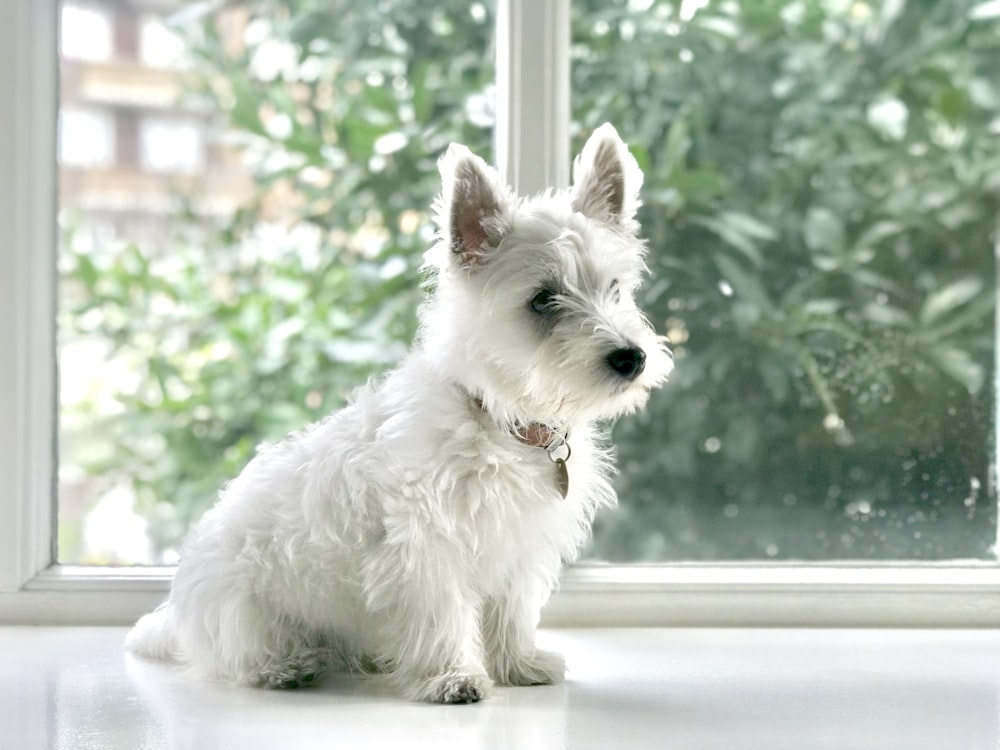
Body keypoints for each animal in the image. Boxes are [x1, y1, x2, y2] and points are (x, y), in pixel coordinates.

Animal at [125, 123, 672, 704]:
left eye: (615, 289)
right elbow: (442, 615)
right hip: (241, 606)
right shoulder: (424, 545)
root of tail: (178, 612)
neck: (499, 421)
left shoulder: (518, 547)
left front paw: (517, 664)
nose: (631, 358)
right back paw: (289, 665)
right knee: (241, 655)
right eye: (543, 300)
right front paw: (453, 677)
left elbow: (510, 612)